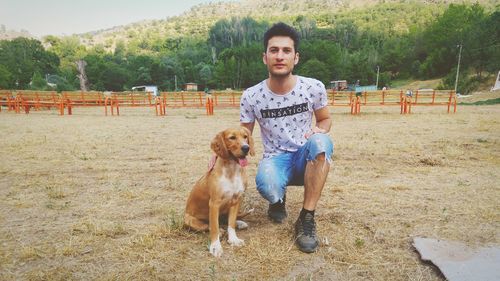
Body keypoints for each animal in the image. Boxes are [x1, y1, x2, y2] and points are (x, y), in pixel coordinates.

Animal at [184, 126, 254, 256]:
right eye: (232, 137)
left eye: (245, 136)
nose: (246, 148)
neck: (231, 170)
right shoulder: (214, 203)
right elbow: (215, 227)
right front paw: (215, 246)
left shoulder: (236, 200)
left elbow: (231, 223)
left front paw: (233, 239)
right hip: (189, 220)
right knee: (208, 226)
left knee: (225, 220)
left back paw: (239, 222)